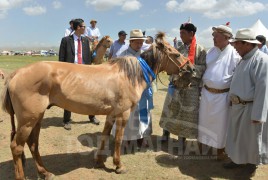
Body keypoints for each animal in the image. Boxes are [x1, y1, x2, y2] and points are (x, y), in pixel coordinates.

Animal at [2, 31, 195, 179]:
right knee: (16, 147)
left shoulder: (111, 114)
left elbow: (104, 135)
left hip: (37, 118)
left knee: (32, 144)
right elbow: (117, 140)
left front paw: (100, 161)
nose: (191, 69)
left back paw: (45, 172)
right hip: (28, 120)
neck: (129, 75)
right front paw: (118, 165)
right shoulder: (123, 114)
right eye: (176, 54)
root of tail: (15, 74)